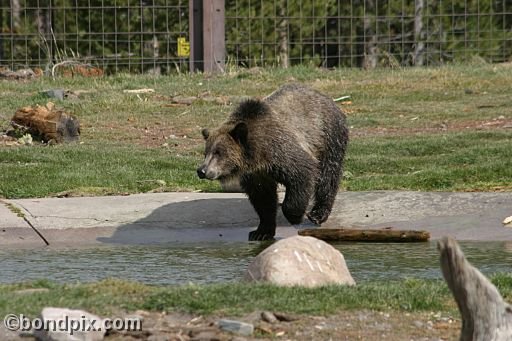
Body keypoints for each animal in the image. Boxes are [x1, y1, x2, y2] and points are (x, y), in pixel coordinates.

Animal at [196, 83, 348, 240]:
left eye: (218, 152)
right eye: (206, 152)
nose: (202, 170)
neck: (258, 157)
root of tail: (326, 97)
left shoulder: (281, 153)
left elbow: (302, 172)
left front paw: (295, 216)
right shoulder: (257, 176)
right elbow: (264, 200)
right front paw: (261, 231)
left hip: (327, 136)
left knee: (328, 174)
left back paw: (318, 213)